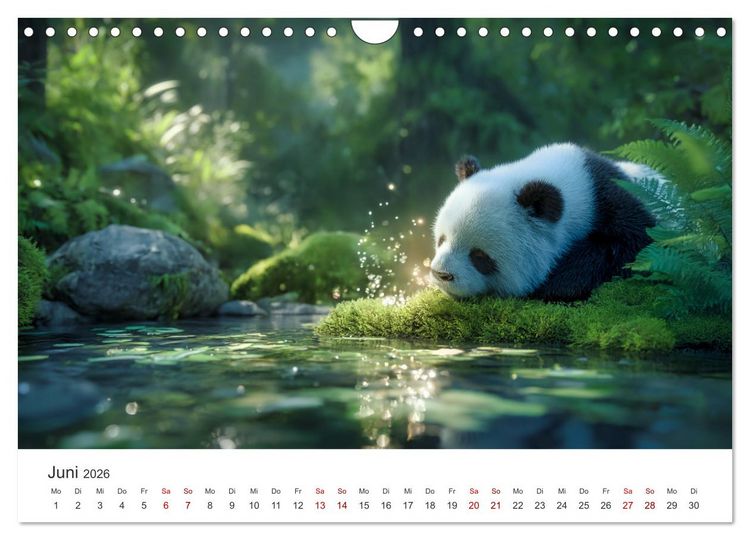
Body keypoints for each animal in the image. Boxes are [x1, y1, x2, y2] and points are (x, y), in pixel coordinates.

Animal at [430, 143, 656, 301]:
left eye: (480, 256)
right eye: (441, 240)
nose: (441, 274)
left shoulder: (615, 202)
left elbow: (635, 245)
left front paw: (558, 283)